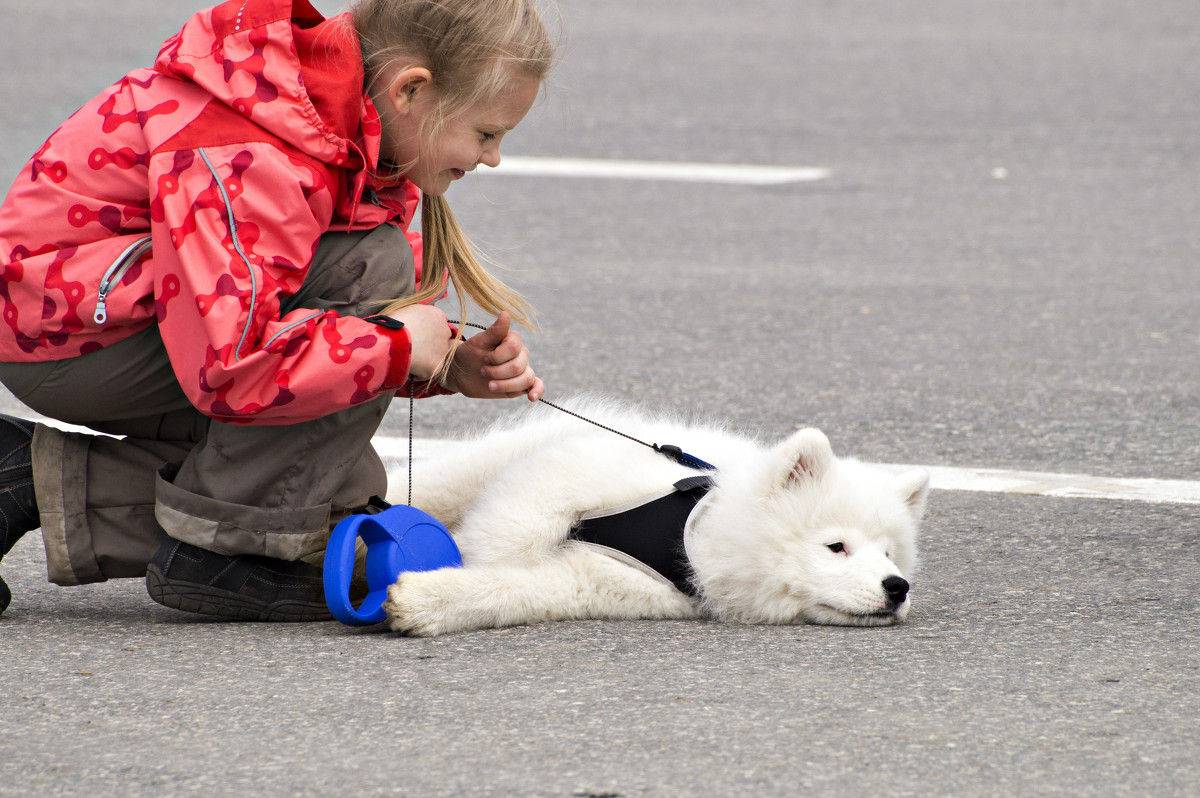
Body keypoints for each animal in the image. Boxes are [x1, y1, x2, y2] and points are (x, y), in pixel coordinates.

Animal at [384, 398, 926, 633]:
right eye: (837, 546)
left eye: (889, 555)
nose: (897, 587)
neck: (694, 537)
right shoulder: (580, 466)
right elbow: (511, 529)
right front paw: (470, 551)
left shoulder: (606, 585)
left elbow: (516, 587)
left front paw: (425, 600)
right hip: (483, 465)